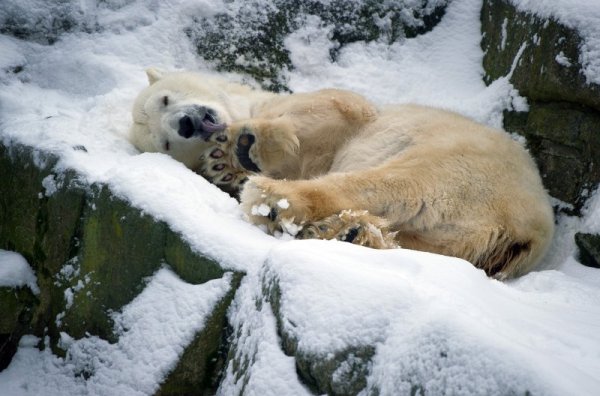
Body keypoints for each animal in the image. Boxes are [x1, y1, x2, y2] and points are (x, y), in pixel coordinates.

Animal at [130, 69, 552, 278]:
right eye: (164, 143)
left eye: (165, 98)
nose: (185, 124)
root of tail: (527, 231)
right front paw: (223, 163)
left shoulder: (341, 114)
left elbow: (339, 109)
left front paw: (241, 149)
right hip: (466, 230)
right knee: (421, 235)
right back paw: (346, 231)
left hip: (460, 158)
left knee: (394, 181)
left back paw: (273, 198)